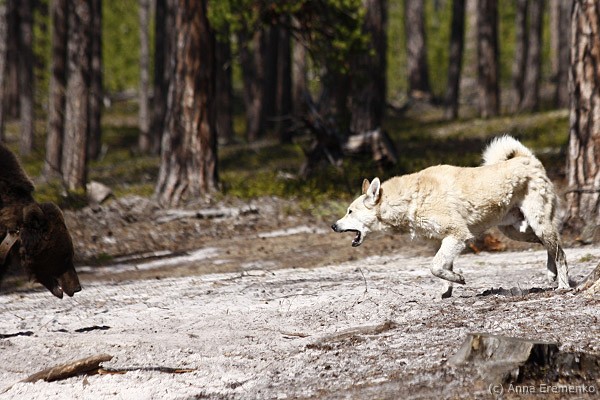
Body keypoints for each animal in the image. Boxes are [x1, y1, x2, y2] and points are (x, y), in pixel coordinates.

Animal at [332, 136, 569, 297]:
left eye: (350, 211)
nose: (334, 226)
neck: (412, 199)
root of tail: (528, 159)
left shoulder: (457, 235)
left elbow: (435, 267)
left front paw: (458, 280)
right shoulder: (445, 240)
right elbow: (443, 268)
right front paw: (447, 290)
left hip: (538, 224)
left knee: (560, 252)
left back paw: (563, 285)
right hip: (517, 231)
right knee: (554, 247)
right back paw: (552, 274)